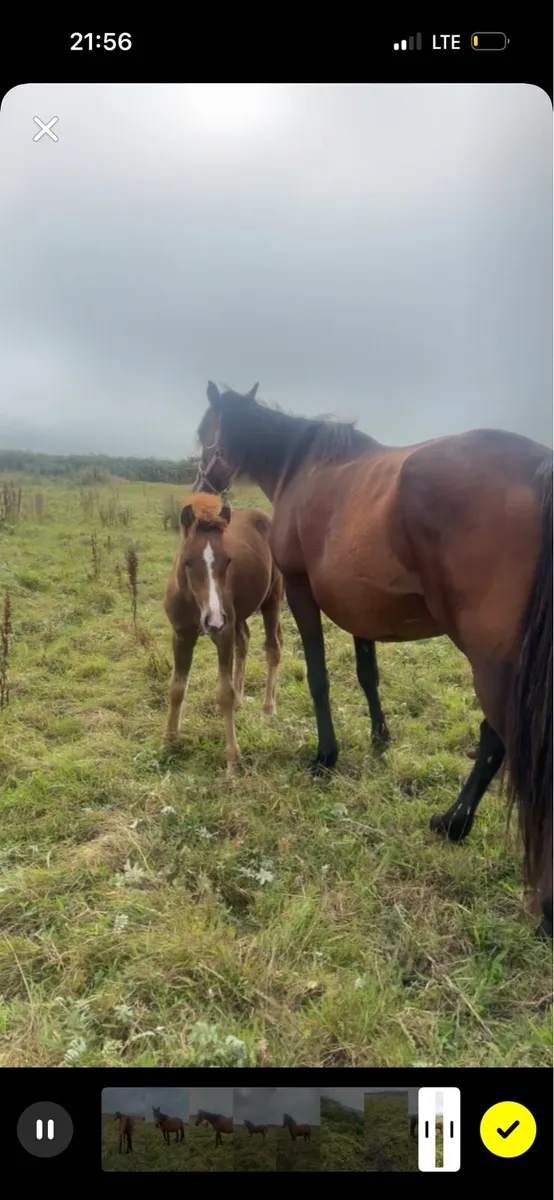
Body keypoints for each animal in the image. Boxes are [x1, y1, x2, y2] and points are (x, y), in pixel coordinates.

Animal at [163, 491, 283, 775]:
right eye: (187, 562)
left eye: (228, 560)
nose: (213, 619)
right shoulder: (181, 635)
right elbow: (177, 688)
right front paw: (169, 741)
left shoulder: (223, 634)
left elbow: (224, 693)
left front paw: (232, 758)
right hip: (238, 614)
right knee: (245, 641)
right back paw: (241, 699)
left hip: (271, 599)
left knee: (273, 649)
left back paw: (268, 707)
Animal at [195, 382, 553, 935]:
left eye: (204, 429)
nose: (203, 485)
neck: (304, 465)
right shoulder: (360, 609)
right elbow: (368, 676)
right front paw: (380, 739)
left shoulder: (301, 592)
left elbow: (319, 677)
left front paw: (326, 755)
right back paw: (455, 823)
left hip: (493, 661)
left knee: (507, 738)